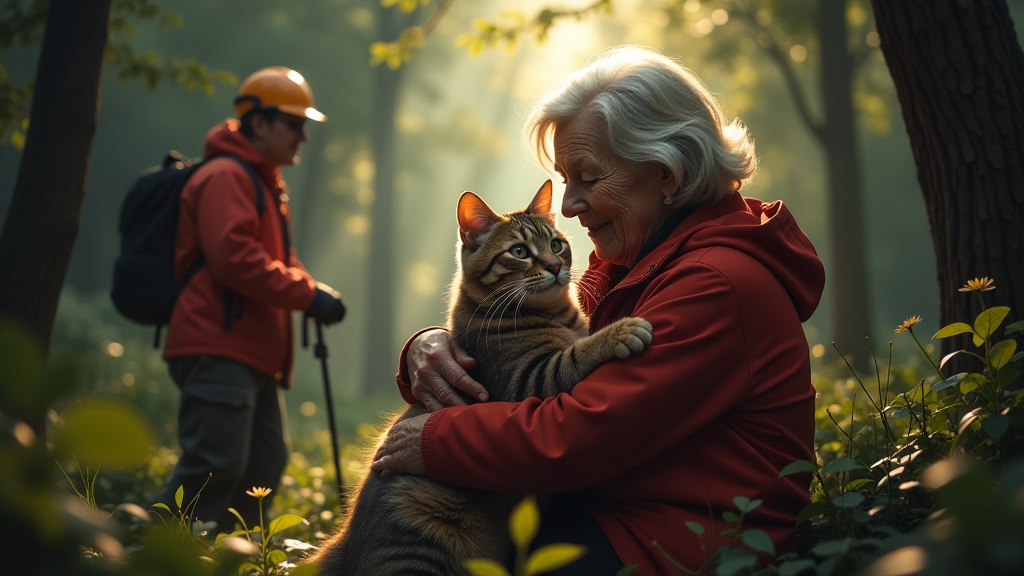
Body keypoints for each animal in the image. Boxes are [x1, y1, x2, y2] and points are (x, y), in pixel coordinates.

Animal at [307, 180, 651, 573]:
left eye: (556, 244)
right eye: (519, 251)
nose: (554, 267)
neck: (557, 315)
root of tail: (345, 544)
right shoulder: (529, 380)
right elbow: (576, 353)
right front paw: (621, 330)